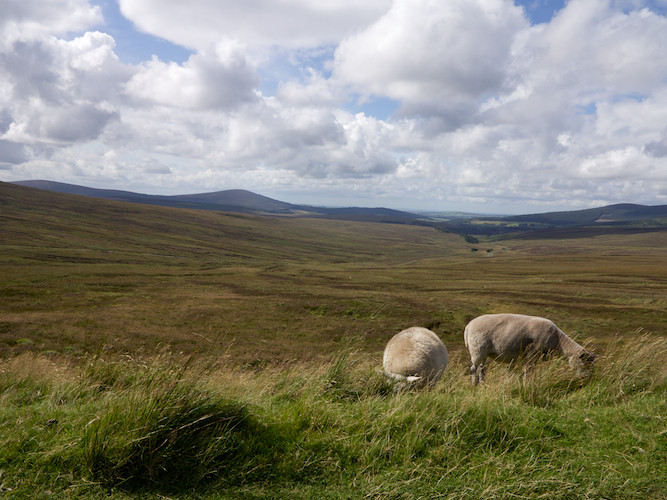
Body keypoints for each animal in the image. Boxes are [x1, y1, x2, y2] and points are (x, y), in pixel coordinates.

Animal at [464, 314, 596, 384]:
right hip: (477, 349)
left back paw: (482, 384)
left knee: (481, 369)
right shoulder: (533, 354)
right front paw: (528, 382)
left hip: (484, 352)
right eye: (585, 363)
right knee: (473, 367)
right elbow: (529, 370)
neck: (559, 342)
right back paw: (473, 384)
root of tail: (468, 326)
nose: (587, 379)